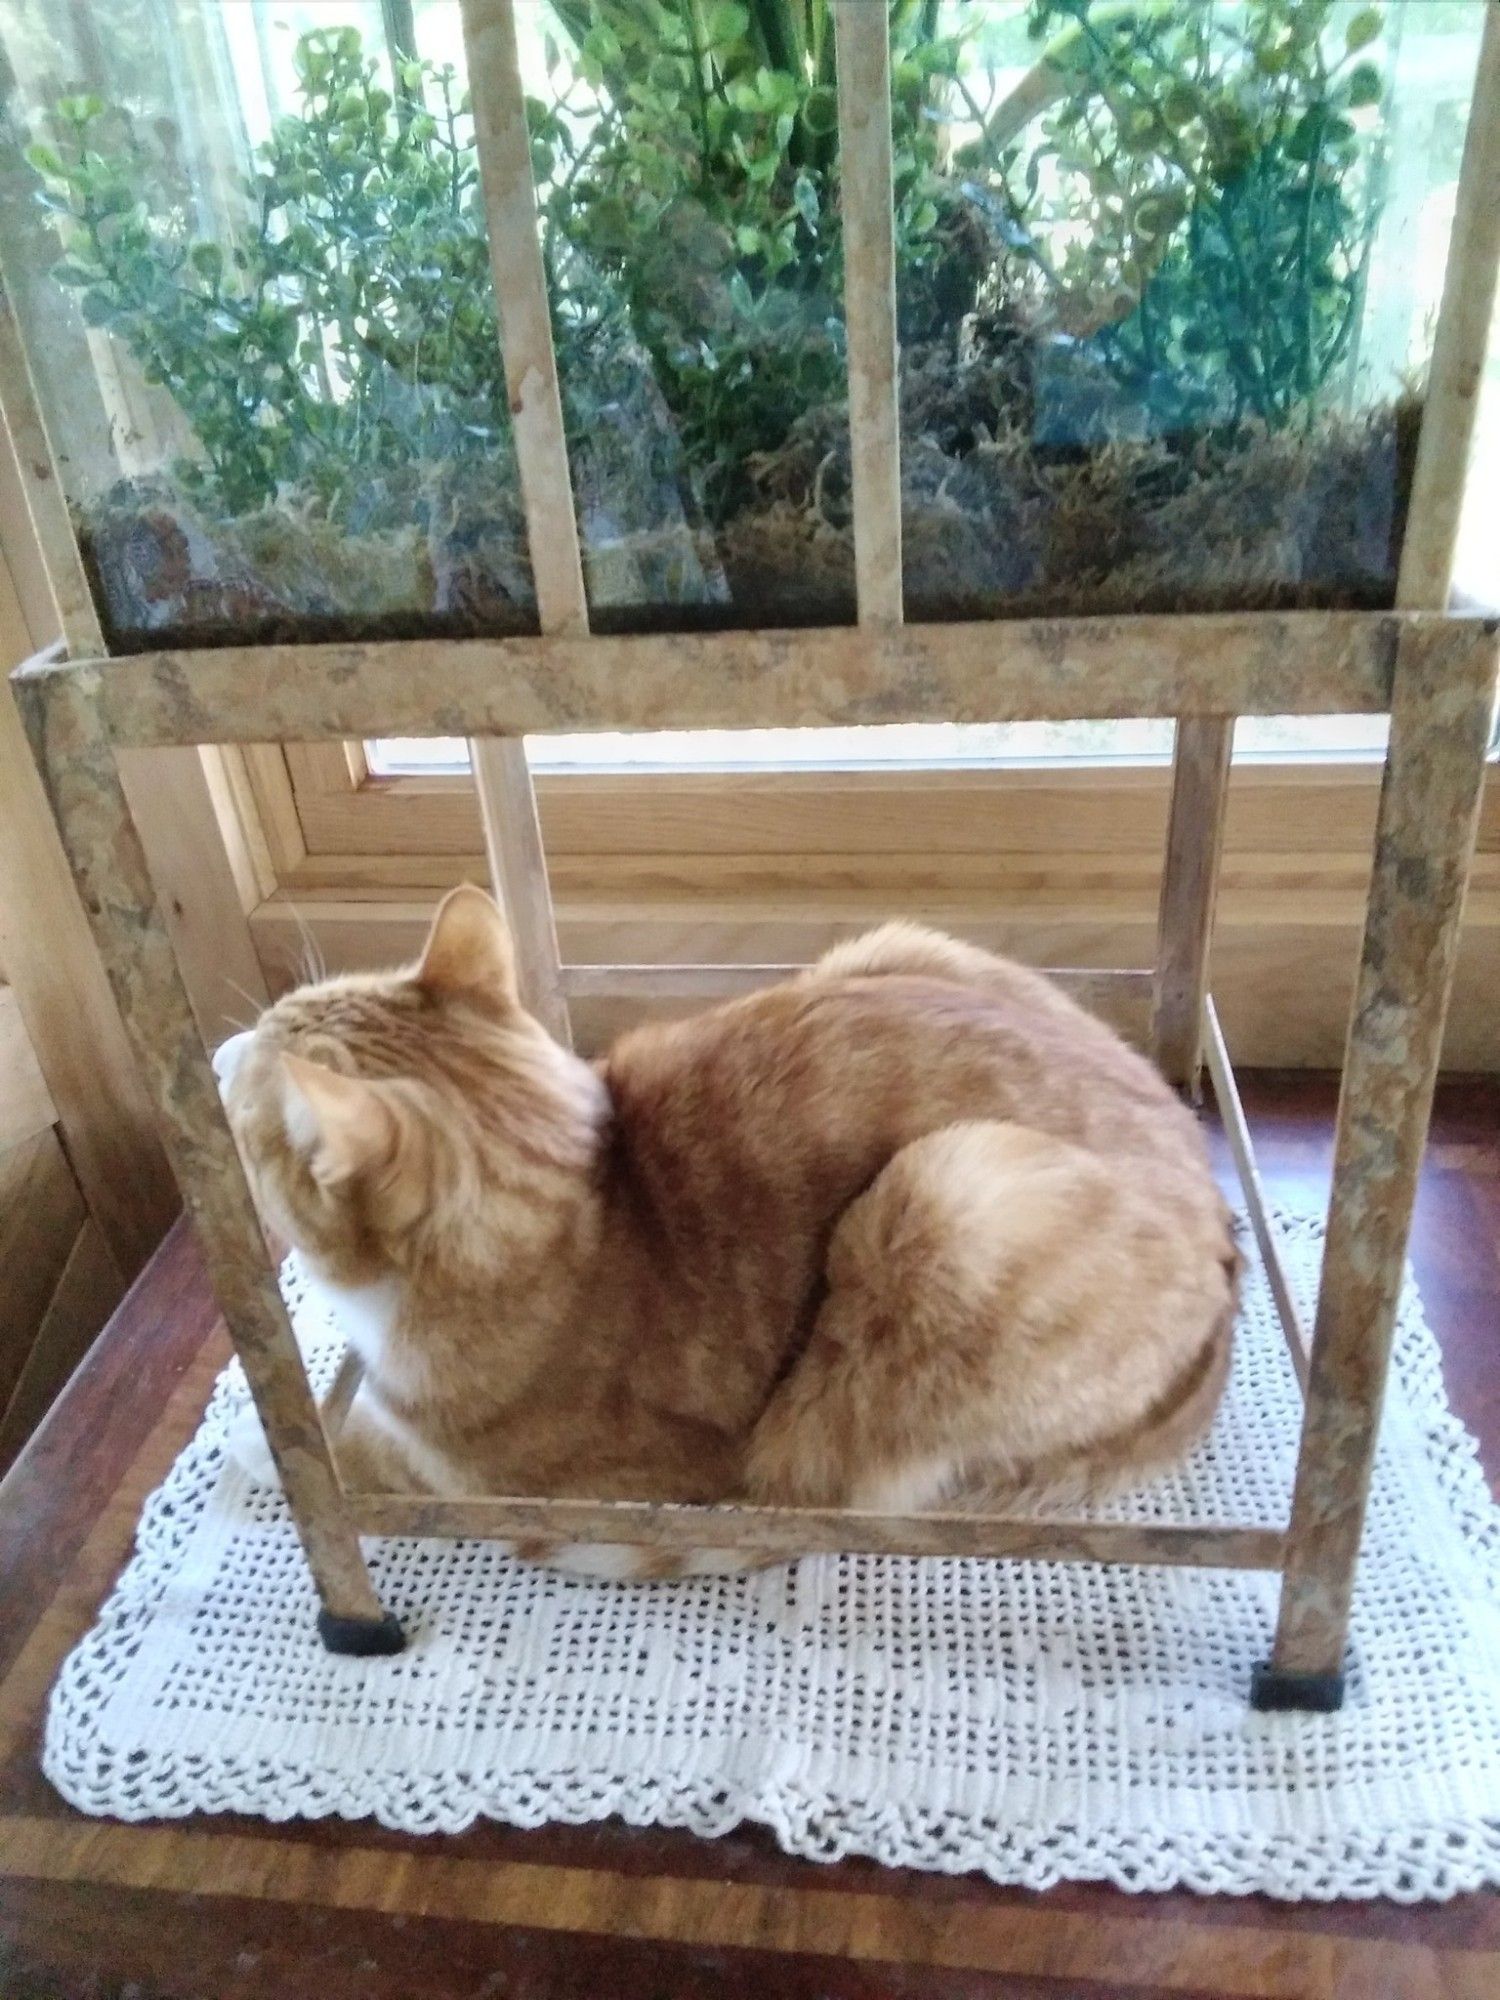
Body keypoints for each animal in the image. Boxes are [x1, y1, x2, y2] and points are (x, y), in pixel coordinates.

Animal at [217, 892, 1240, 1576]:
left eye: (246, 1097)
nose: (220, 1054)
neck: (586, 1206)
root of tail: (1224, 1232)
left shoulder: (540, 1488)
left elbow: (350, 1456)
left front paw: (265, 1458)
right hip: (887, 948)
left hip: (948, 1202)